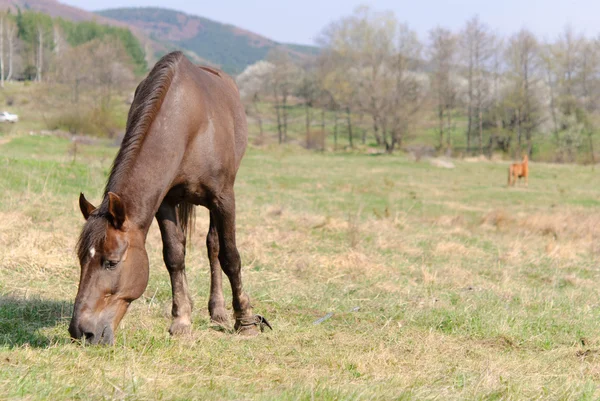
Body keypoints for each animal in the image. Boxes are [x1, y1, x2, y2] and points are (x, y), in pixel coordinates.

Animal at [67, 50, 270, 344]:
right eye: (82, 259)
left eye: (111, 262)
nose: (80, 332)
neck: (189, 124)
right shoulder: (165, 202)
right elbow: (174, 256)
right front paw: (181, 320)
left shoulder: (224, 199)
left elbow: (230, 257)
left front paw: (246, 321)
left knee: (214, 246)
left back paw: (219, 311)